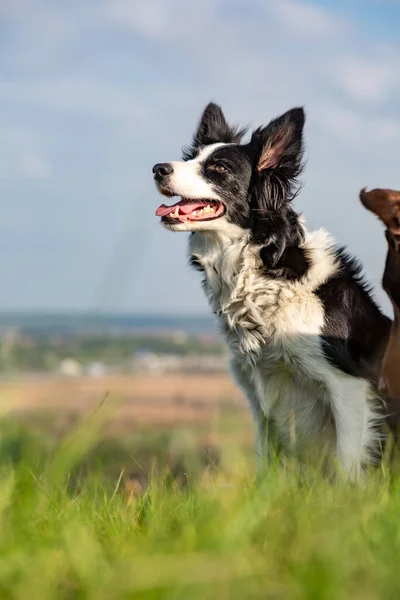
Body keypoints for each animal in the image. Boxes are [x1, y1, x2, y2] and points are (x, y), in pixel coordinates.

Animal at [152, 104, 390, 478]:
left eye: (219, 167)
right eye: (189, 158)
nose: (157, 169)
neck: (263, 269)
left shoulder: (348, 385)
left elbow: (347, 465)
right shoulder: (260, 392)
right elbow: (267, 466)